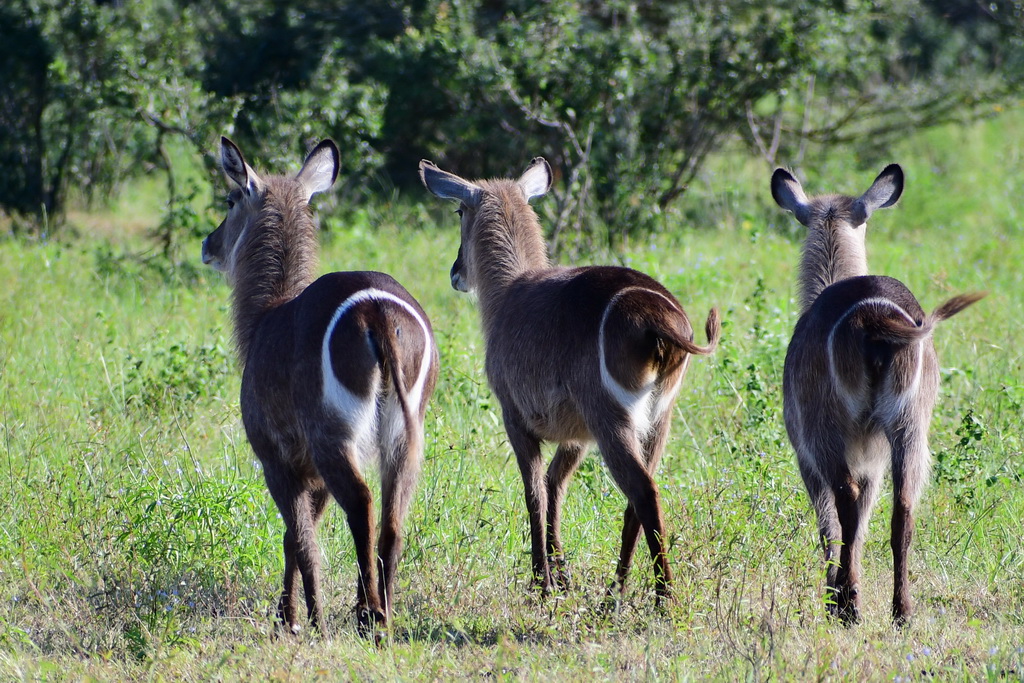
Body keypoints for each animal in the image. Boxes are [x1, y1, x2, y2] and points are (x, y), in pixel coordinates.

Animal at [201, 136, 438, 638]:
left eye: (230, 200)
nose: (208, 244)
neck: (265, 316)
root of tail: (377, 312)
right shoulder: (311, 472)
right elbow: (298, 534)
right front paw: (290, 614)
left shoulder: (277, 457)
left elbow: (297, 535)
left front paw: (300, 619)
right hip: (405, 436)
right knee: (393, 518)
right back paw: (382, 613)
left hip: (334, 437)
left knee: (363, 504)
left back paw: (367, 615)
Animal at [417, 157, 720, 602]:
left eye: (459, 211)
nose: (456, 272)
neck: (508, 292)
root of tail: (659, 320)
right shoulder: (576, 437)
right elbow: (555, 486)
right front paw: (561, 576)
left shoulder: (515, 418)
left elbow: (534, 492)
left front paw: (540, 582)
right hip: (657, 421)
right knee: (637, 500)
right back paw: (616, 593)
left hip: (612, 420)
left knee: (643, 492)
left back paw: (656, 599)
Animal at [774, 163, 983, 626]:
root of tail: (873, 316)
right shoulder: (873, 457)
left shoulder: (809, 453)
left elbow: (832, 523)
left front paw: (835, 594)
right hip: (909, 425)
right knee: (903, 509)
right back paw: (900, 611)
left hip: (827, 431)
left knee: (846, 506)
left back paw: (849, 606)